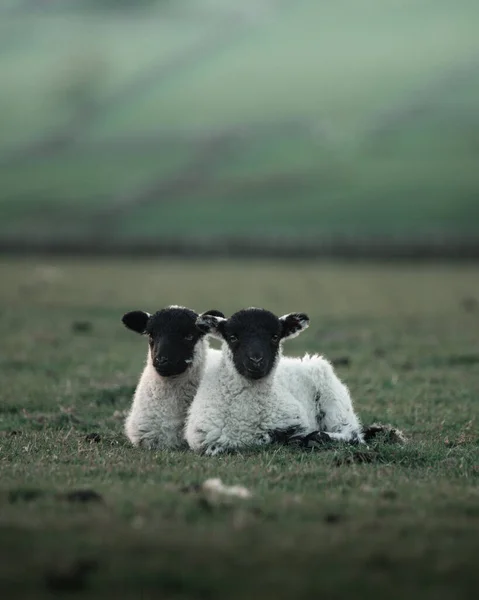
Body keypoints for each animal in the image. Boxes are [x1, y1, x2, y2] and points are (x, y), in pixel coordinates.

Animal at [186, 310, 366, 454]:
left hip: (333, 397)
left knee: (352, 434)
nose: (256, 360)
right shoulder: (202, 440)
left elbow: (280, 437)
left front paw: (303, 439)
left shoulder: (297, 423)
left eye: (275, 337)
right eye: (232, 337)